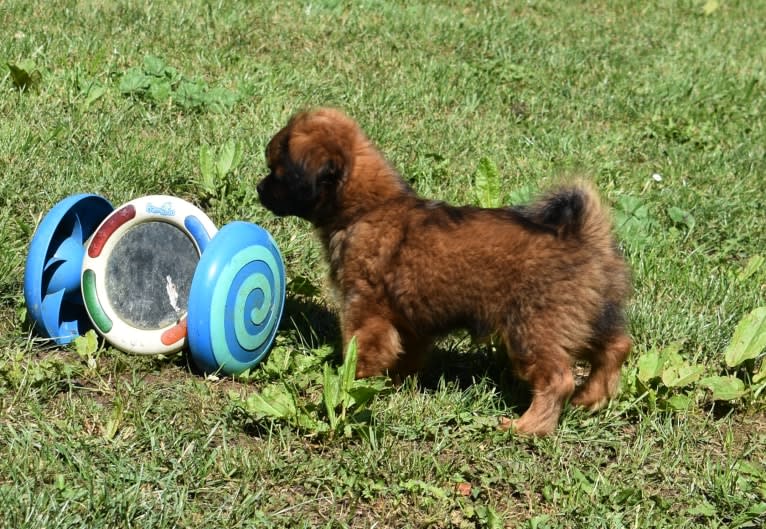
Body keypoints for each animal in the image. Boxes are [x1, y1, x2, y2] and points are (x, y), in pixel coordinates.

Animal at [260, 107, 632, 434]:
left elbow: (362, 353)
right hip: (588, 318)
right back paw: (591, 398)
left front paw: (351, 385)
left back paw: (528, 427)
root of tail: (584, 237)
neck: (367, 207)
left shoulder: (365, 308)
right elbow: (406, 356)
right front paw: (395, 387)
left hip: (533, 330)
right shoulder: (409, 321)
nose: (259, 189)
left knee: (558, 379)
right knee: (617, 347)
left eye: (277, 172)